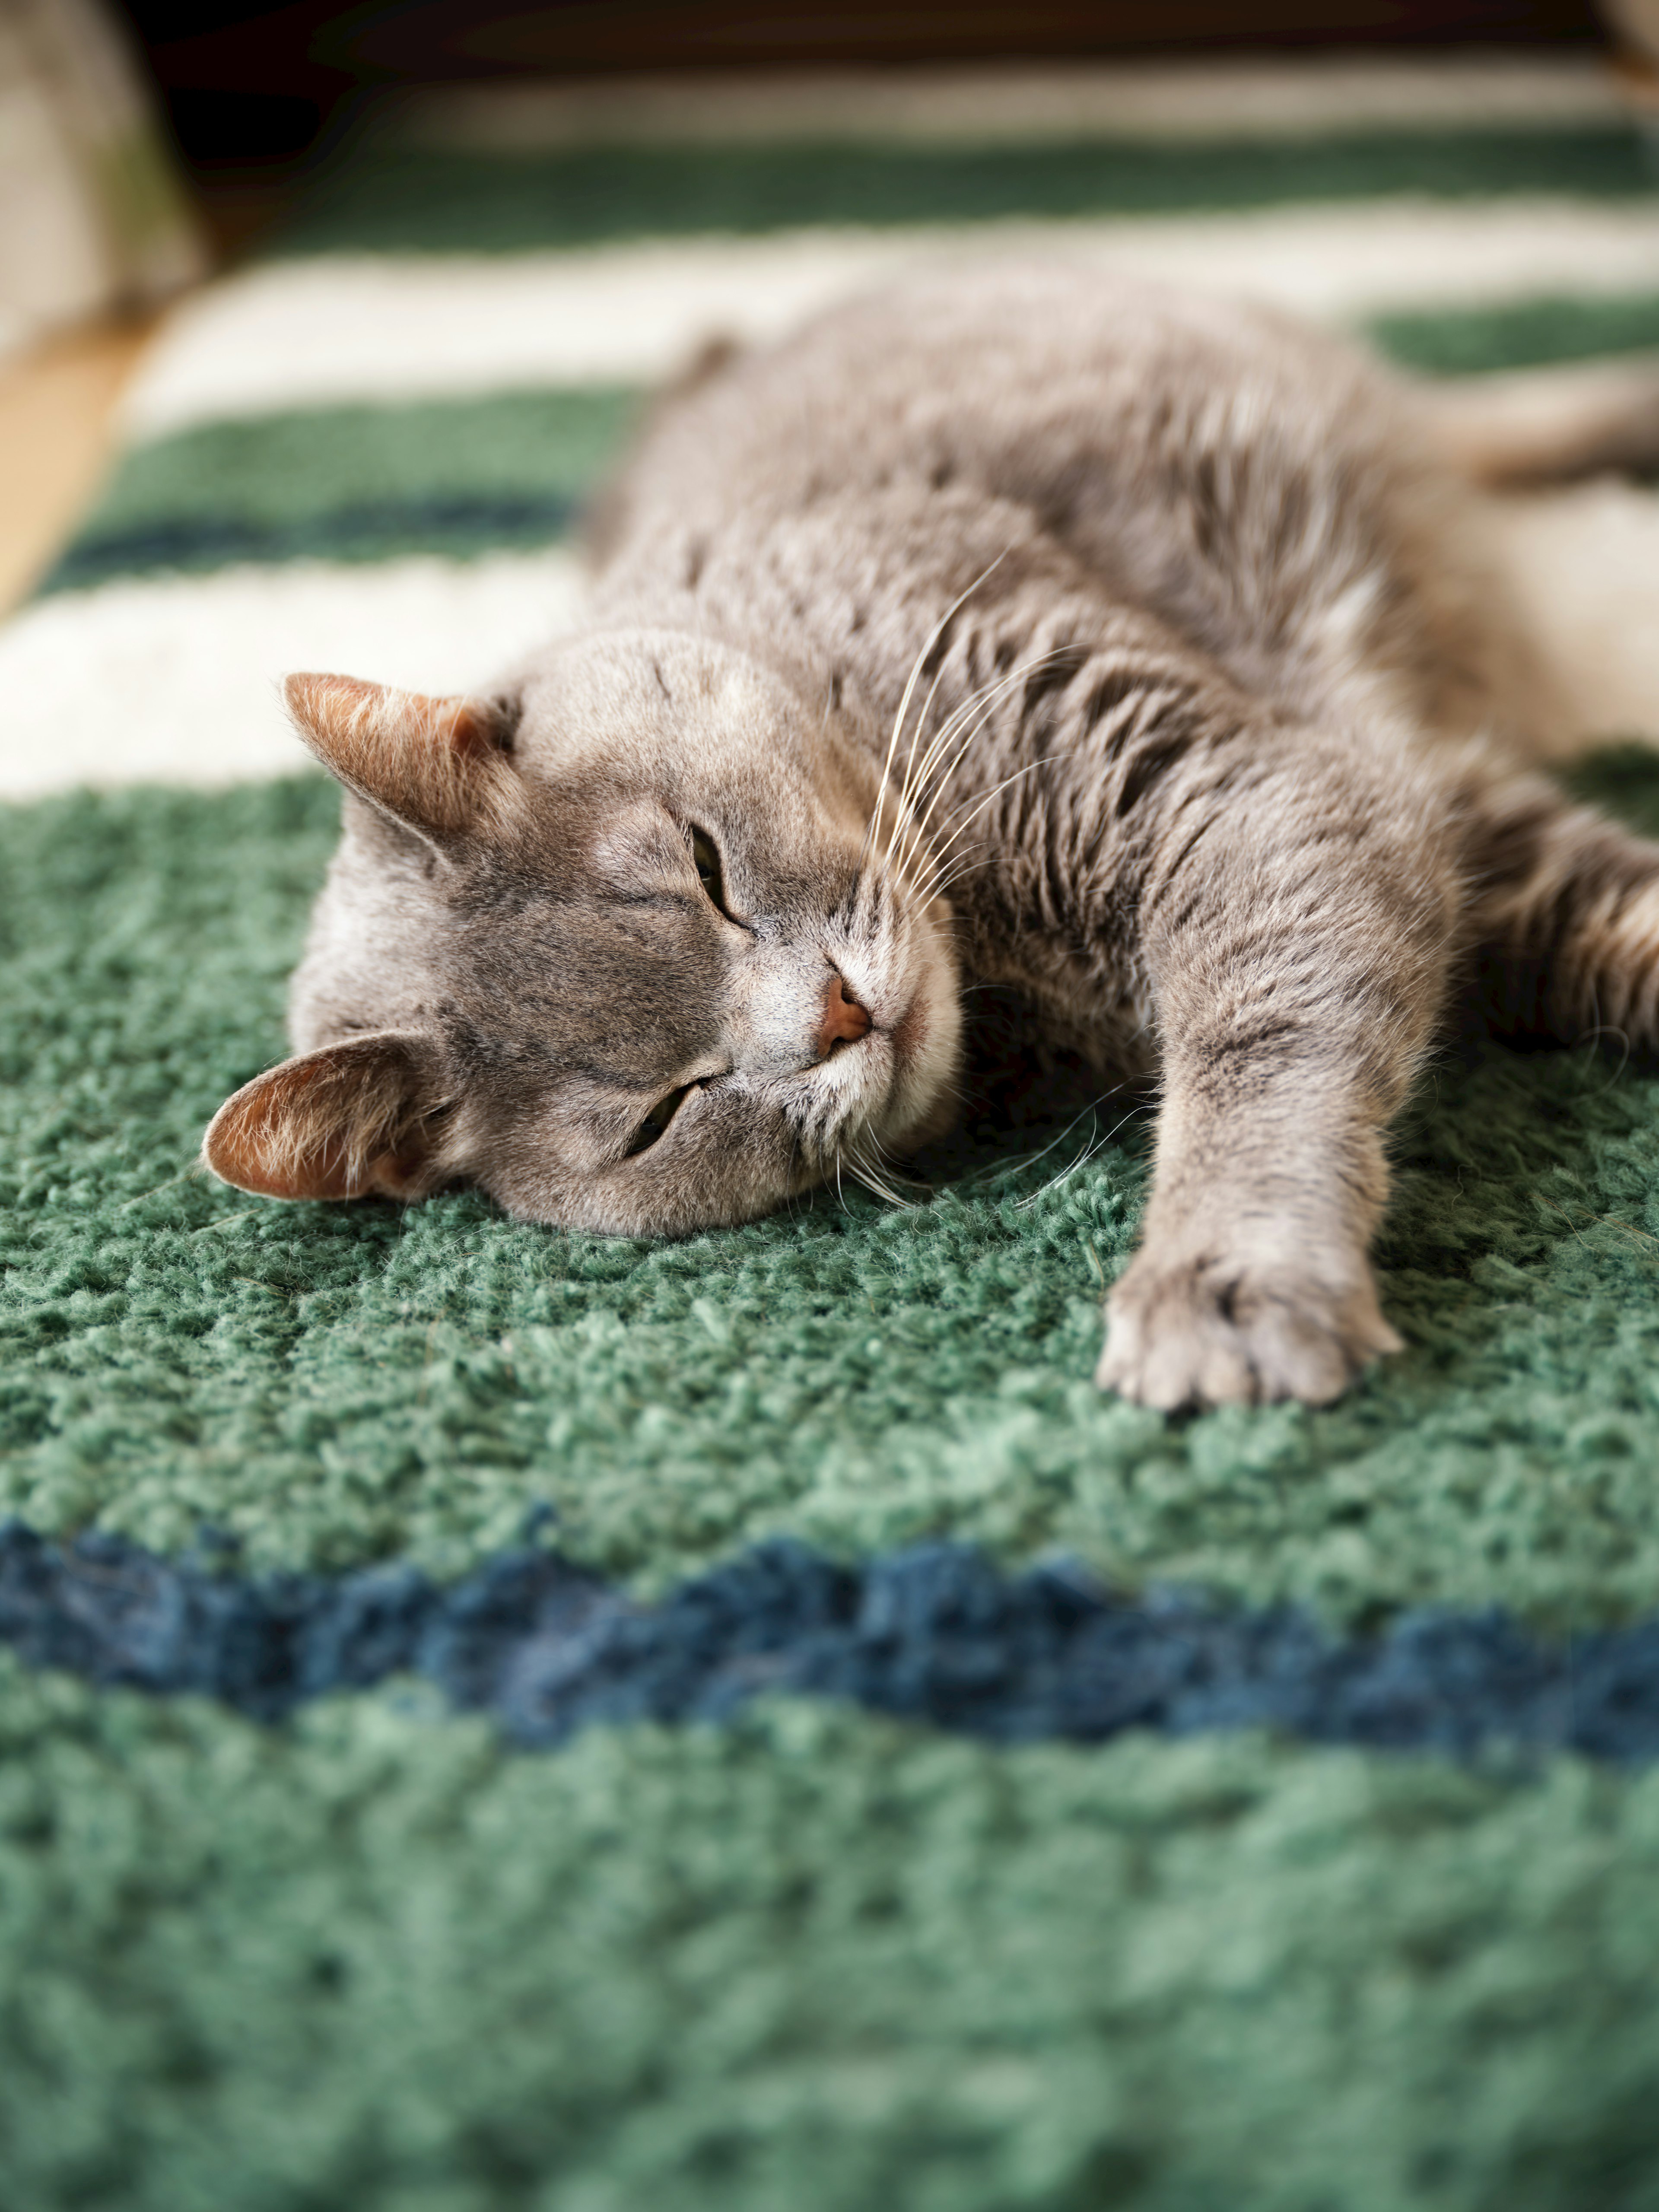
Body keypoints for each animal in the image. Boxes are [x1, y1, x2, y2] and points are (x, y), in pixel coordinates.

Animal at [204, 259, 1659, 1398]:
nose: (835, 1014)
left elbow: (1262, 1044)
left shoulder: (1241, 785)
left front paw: (1226, 1278)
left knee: (1480, 415)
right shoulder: (1405, 807)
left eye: (702, 862)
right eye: (663, 1115)